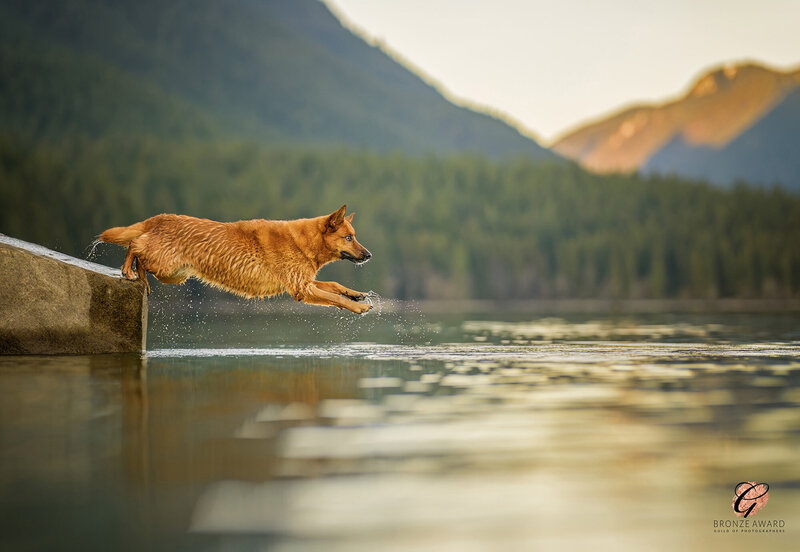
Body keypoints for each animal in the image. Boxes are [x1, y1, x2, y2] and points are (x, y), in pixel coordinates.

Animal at [99, 205, 372, 312]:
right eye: (349, 238)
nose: (369, 255)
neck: (305, 241)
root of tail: (160, 218)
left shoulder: (301, 281)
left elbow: (334, 286)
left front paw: (356, 294)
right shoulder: (300, 288)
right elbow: (333, 297)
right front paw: (358, 306)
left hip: (174, 274)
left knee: (141, 253)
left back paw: (138, 276)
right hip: (166, 266)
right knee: (135, 245)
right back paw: (129, 270)